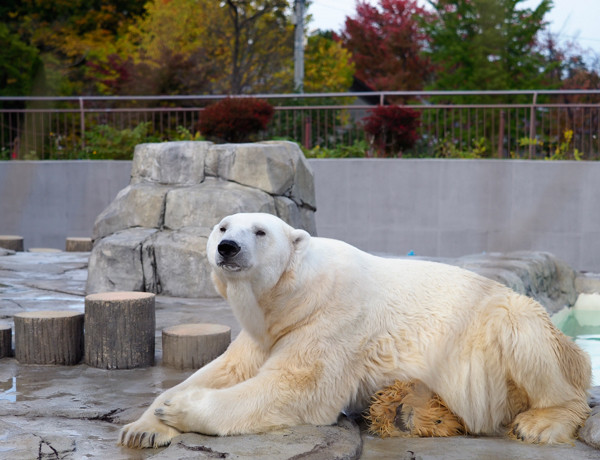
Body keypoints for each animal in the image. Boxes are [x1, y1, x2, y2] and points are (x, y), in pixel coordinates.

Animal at [117, 213, 592, 450]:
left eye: (260, 231)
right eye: (221, 226)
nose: (227, 247)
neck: (294, 295)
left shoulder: (332, 320)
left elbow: (295, 387)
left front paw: (178, 408)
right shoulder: (264, 331)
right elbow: (226, 370)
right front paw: (143, 427)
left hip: (507, 321)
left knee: (534, 348)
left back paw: (540, 424)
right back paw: (407, 413)